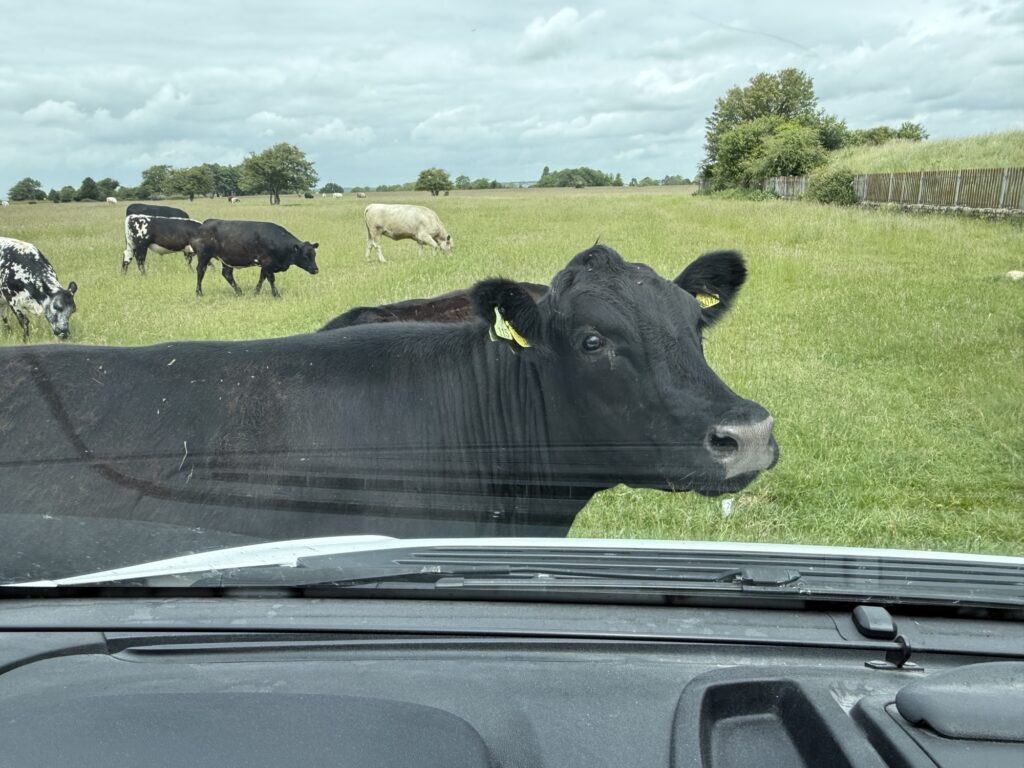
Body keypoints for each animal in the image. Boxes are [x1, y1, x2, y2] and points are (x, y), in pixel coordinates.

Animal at [191, 219, 319, 298]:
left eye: (314, 254)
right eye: (305, 256)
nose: (316, 269)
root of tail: (208, 221)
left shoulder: (265, 265)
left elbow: (262, 277)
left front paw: (256, 292)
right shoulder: (267, 262)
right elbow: (271, 279)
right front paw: (276, 295)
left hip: (227, 259)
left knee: (227, 274)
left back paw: (239, 292)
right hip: (204, 255)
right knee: (200, 271)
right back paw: (199, 293)